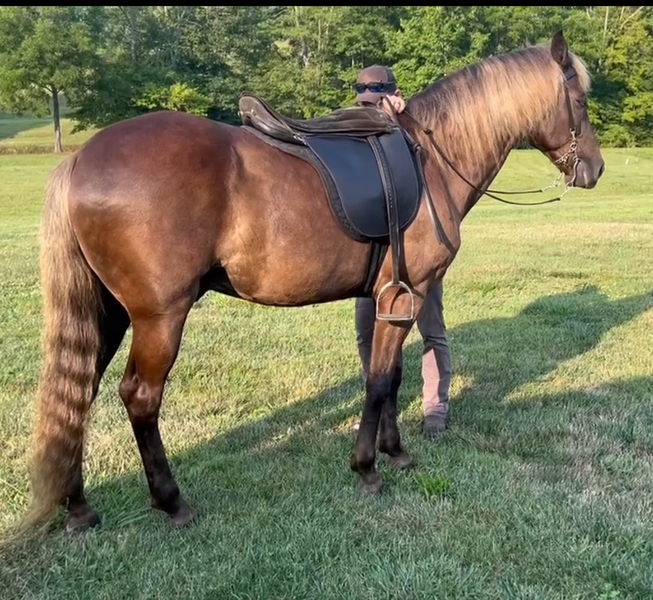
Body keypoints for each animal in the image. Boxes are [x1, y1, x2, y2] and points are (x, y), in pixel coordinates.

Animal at [22, 30, 604, 532]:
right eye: (579, 100)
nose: (595, 169)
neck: (432, 162)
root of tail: (80, 157)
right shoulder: (410, 294)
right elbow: (378, 382)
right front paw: (367, 468)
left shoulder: (386, 298)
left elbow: (390, 376)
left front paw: (396, 452)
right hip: (159, 317)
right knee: (140, 397)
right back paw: (171, 501)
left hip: (108, 312)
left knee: (78, 392)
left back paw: (78, 506)